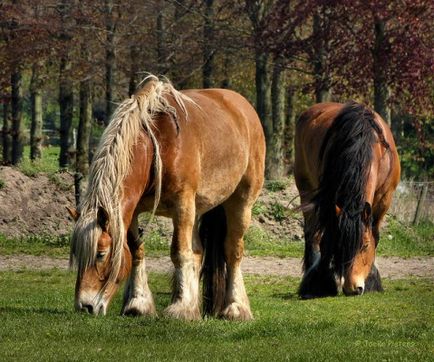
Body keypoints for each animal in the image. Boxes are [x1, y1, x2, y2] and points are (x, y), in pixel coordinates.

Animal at [68, 75, 266, 320]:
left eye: (101, 254)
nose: (84, 306)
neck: (157, 144)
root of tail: (244, 107)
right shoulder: (133, 211)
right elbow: (137, 250)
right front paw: (139, 303)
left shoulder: (182, 204)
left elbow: (179, 252)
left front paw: (180, 308)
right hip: (198, 208)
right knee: (198, 252)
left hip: (240, 203)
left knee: (233, 251)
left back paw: (235, 308)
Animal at [294, 101, 400, 296]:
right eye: (341, 246)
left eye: (364, 246)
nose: (353, 288)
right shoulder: (328, 199)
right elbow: (326, 239)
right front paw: (323, 282)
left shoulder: (384, 199)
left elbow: (375, 234)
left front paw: (372, 279)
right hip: (306, 190)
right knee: (312, 234)